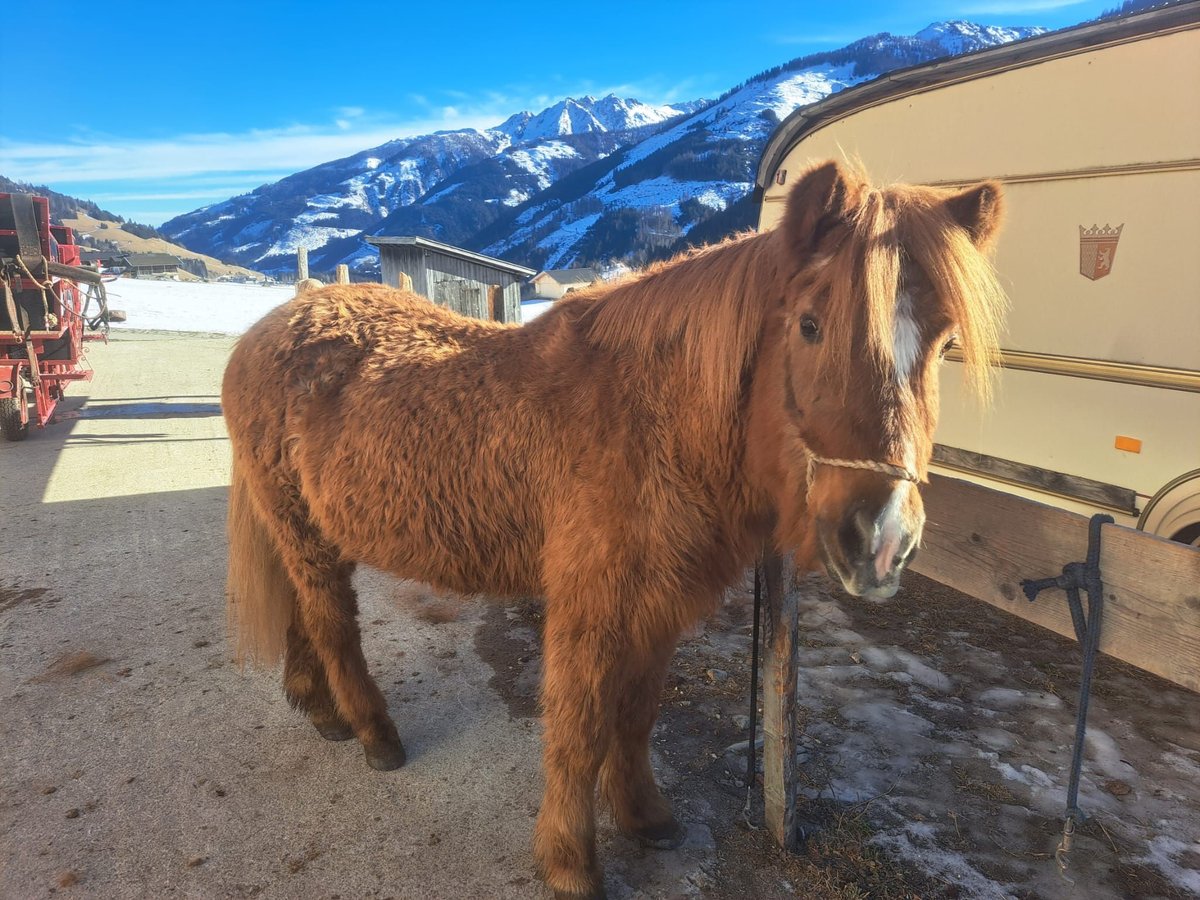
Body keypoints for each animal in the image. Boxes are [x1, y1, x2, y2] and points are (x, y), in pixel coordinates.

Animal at [223, 164, 1003, 900]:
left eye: (945, 343)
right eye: (811, 325)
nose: (881, 540)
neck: (653, 415)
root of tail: (270, 326)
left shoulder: (660, 604)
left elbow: (635, 715)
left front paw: (644, 816)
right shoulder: (590, 604)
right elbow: (580, 725)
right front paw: (571, 862)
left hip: (303, 531)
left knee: (300, 610)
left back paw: (319, 709)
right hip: (305, 533)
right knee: (331, 624)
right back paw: (373, 734)